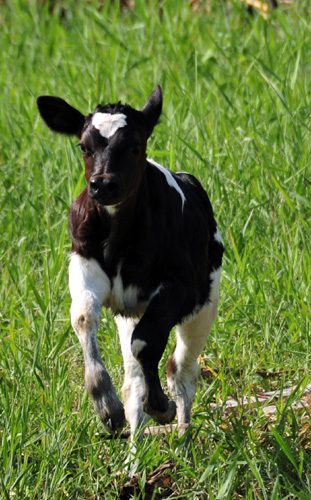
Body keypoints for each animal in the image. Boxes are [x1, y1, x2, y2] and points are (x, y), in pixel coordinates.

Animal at [37, 85, 224, 450]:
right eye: (84, 146)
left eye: (135, 145)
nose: (103, 185)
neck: (119, 238)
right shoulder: (84, 262)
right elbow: (83, 317)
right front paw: (106, 406)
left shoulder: (179, 286)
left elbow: (146, 344)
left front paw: (160, 406)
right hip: (131, 312)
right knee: (134, 378)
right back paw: (134, 454)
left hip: (203, 308)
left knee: (181, 372)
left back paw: (183, 439)